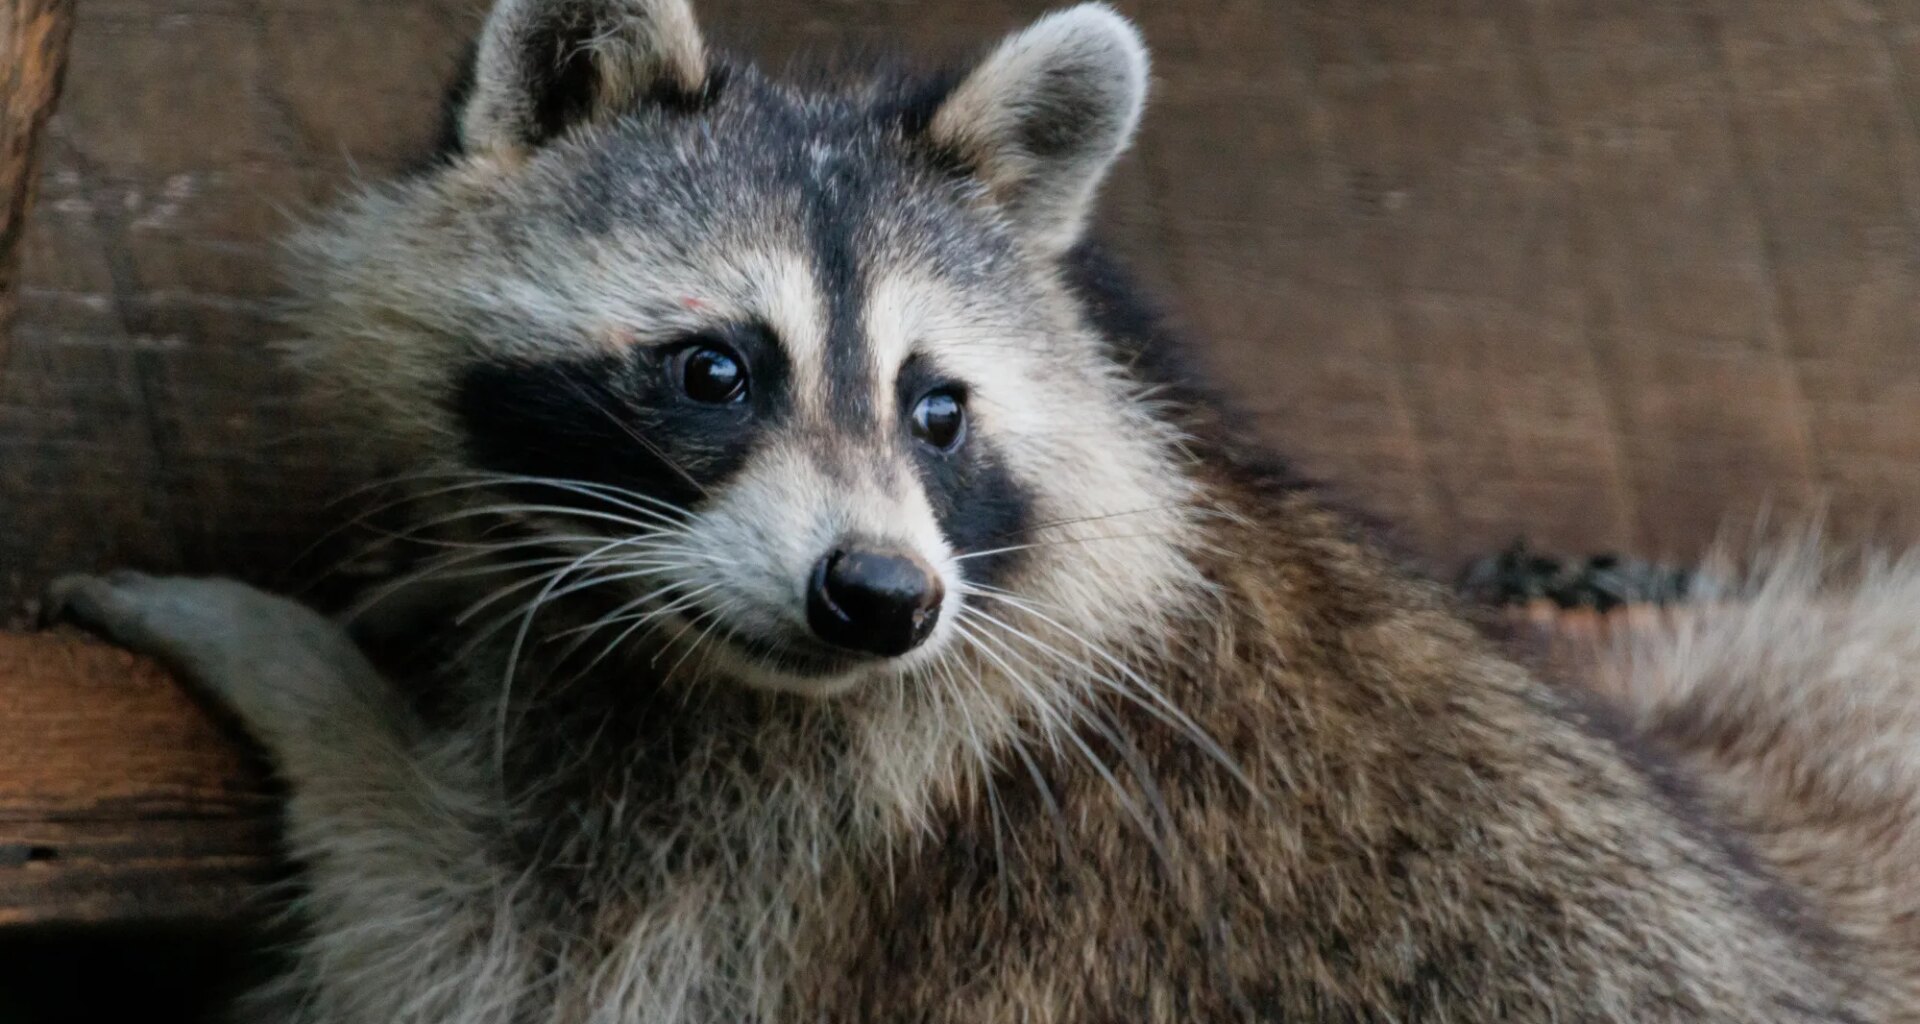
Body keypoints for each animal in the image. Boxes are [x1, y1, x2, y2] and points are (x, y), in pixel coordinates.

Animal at [43, 0, 1918, 1021]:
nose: (879, 595)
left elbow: (461, 950)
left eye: (939, 409)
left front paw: (293, 676)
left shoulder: (810, 840)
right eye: (716, 370)